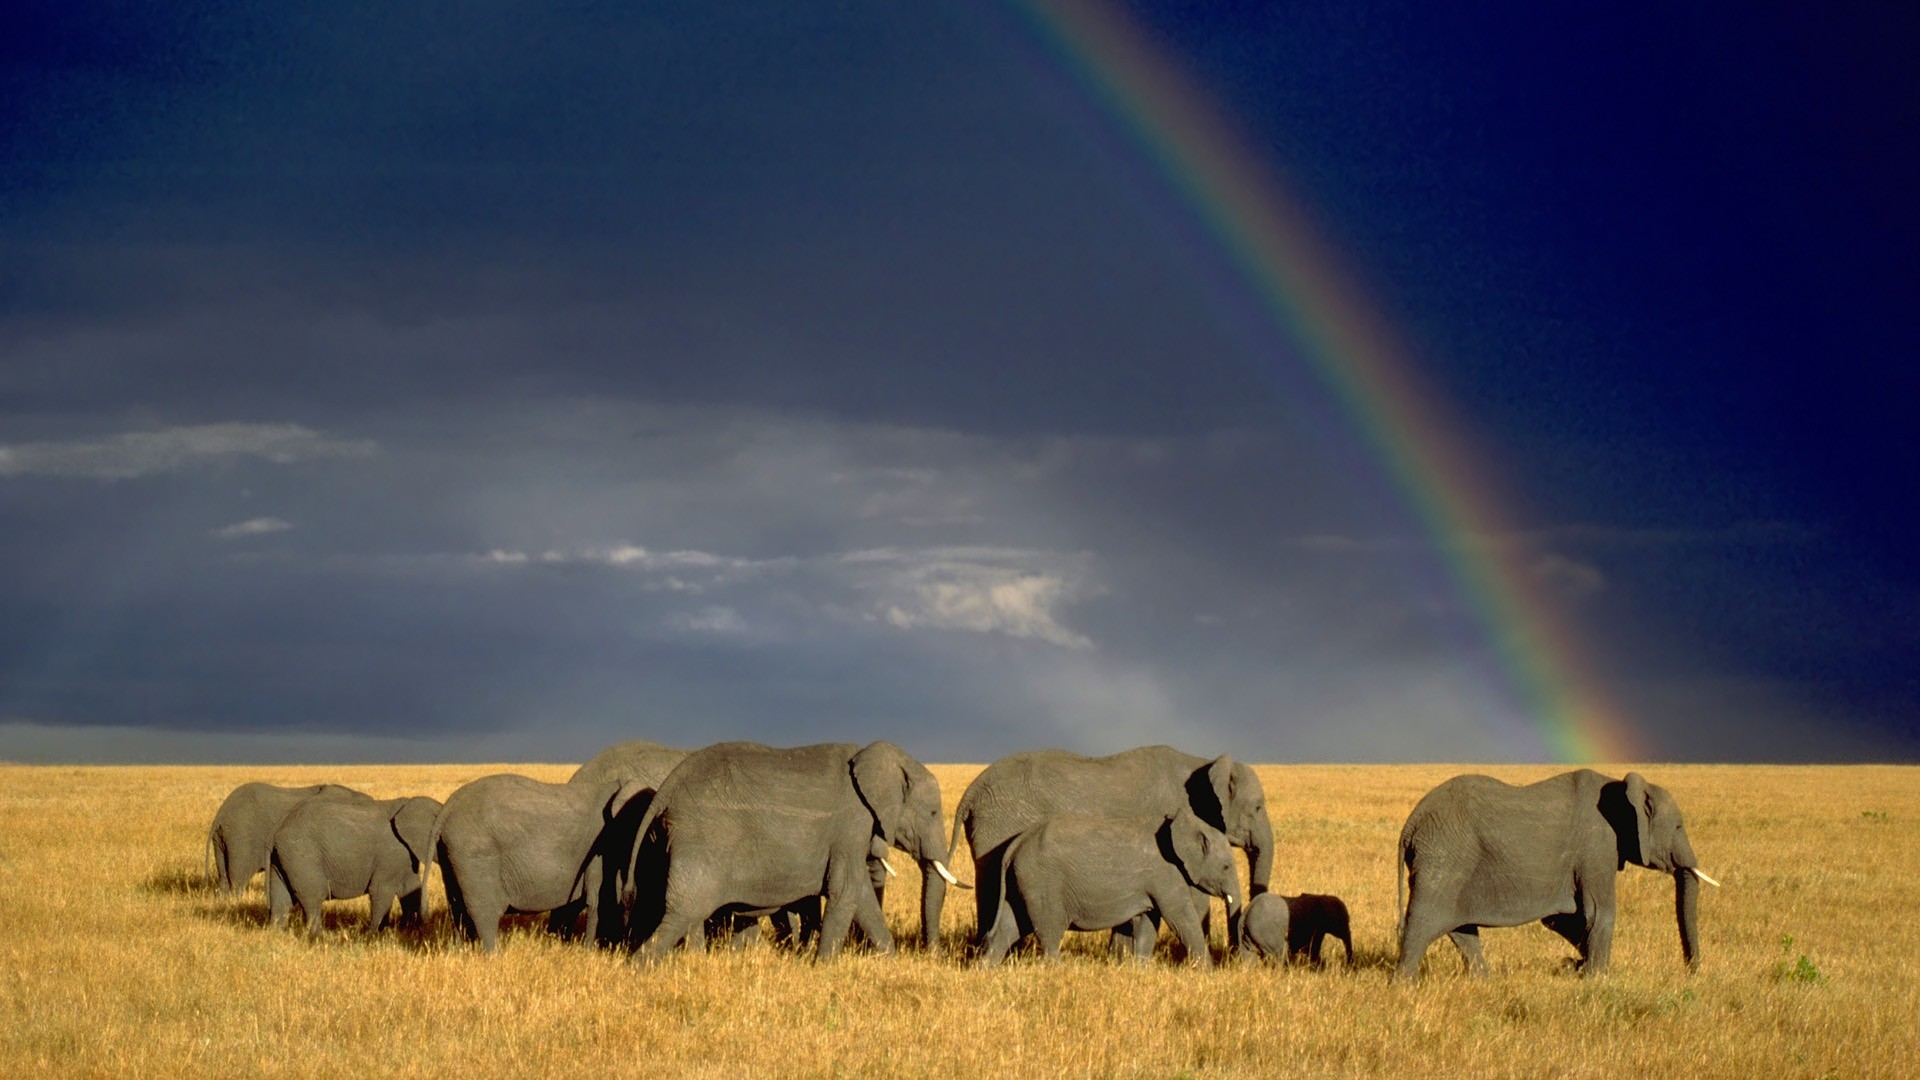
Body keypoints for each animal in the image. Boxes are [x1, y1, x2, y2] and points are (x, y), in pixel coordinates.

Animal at [267, 795, 440, 933]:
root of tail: (279, 830)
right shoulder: (392, 852)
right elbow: (381, 891)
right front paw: (372, 936)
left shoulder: (406, 856)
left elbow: (411, 890)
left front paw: (409, 931)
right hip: (302, 855)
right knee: (313, 896)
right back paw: (317, 939)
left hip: (284, 858)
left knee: (281, 898)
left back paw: (276, 935)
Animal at [426, 774, 646, 952]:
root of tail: (447, 808)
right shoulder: (604, 847)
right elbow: (599, 901)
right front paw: (590, 953)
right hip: (475, 855)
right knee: (484, 912)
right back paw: (493, 957)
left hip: (450, 855)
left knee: (457, 909)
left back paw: (461, 954)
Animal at [627, 741, 962, 960]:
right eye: (933, 812)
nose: (933, 957)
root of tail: (668, 787)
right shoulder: (852, 825)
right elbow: (847, 890)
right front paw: (823, 966)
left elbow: (862, 896)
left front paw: (889, 960)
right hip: (701, 837)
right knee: (684, 910)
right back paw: (639, 968)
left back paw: (694, 963)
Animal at [976, 809, 1237, 969]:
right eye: (1226, 866)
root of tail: (1016, 844)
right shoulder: (1165, 874)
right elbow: (1179, 917)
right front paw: (1209, 973)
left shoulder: (1152, 880)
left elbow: (1148, 921)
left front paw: (1141, 970)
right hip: (1042, 883)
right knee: (1049, 929)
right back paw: (1058, 970)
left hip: (1023, 882)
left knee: (1010, 925)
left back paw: (986, 970)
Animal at [1394, 769, 1719, 981]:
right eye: (1678, 827)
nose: (1691, 973)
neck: (1622, 788)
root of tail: (1412, 822)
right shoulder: (1597, 846)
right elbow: (1598, 914)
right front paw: (1597, 980)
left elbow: (1563, 919)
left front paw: (1574, 966)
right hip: (1444, 855)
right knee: (1423, 922)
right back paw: (1404, 987)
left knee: (1461, 929)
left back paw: (1484, 982)